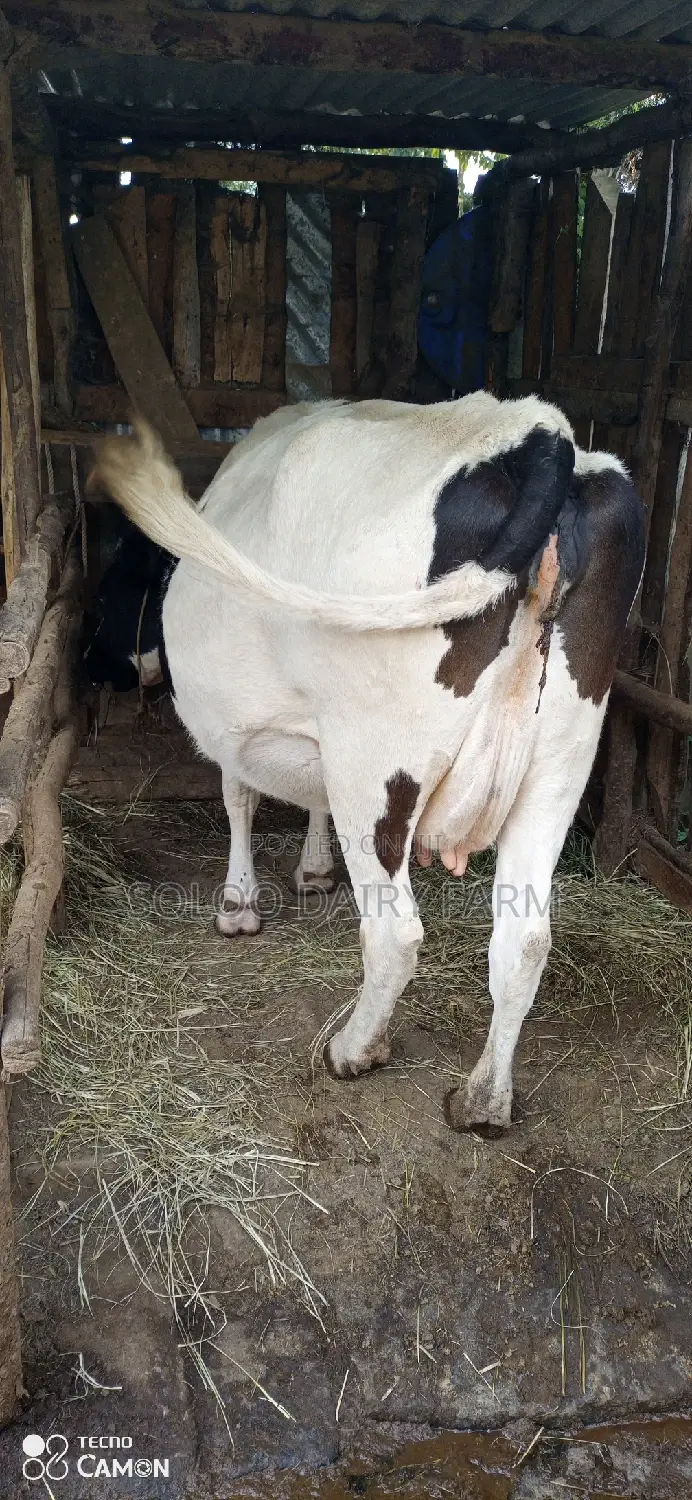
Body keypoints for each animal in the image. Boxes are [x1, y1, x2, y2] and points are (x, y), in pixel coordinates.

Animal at [92, 392, 645, 1135]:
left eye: (107, 590)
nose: (94, 665)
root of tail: (534, 431)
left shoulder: (235, 726)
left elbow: (239, 798)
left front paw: (239, 903)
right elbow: (308, 799)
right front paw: (314, 871)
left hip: (376, 760)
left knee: (394, 933)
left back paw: (355, 1048)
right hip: (560, 763)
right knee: (525, 938)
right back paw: (483, 1100)